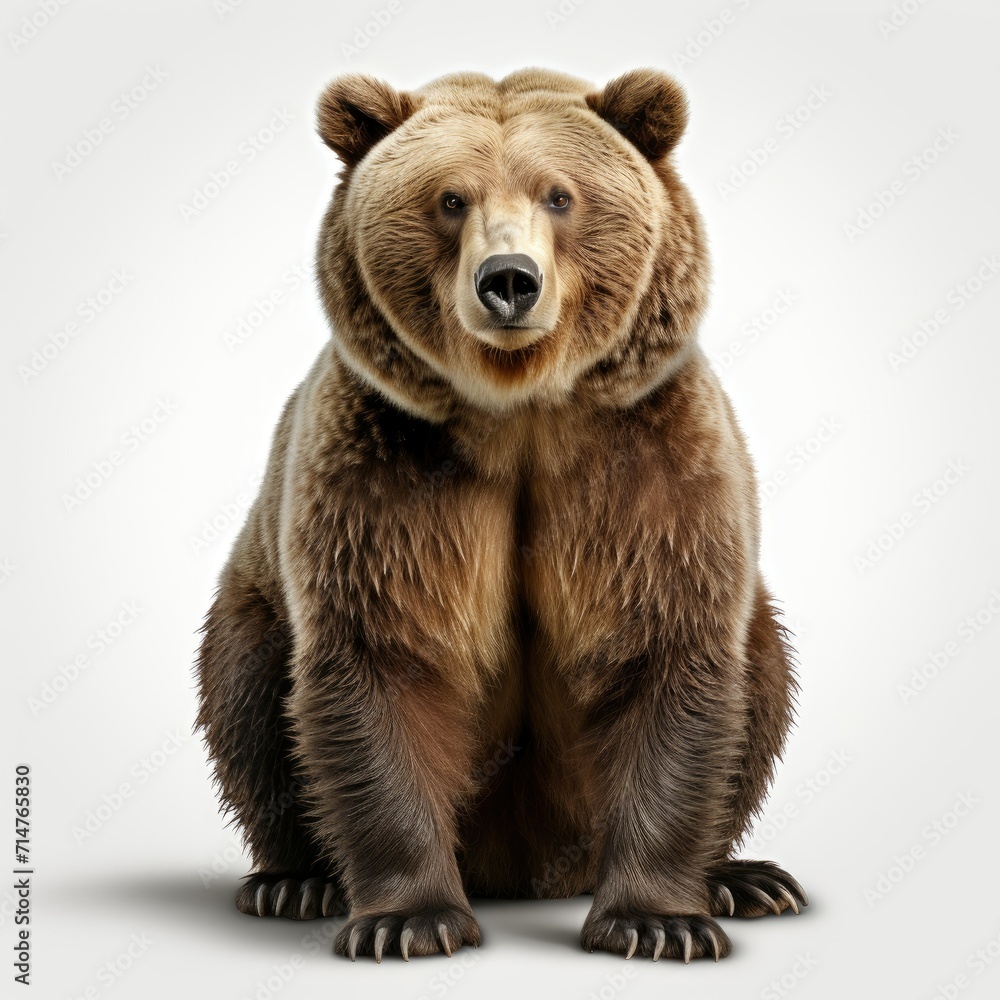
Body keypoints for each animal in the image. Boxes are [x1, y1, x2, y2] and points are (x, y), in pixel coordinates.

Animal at [195, 67, 808, 964]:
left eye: (560, 195)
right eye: (450, 198)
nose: (509, 279)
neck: (522, 412)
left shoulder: (647, 466)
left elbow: (666, 650)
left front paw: (658, 921)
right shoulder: (389, 474)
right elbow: (383, 658)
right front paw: (408, 919)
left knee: (762, 679)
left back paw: (746, 879)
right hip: (256, 601)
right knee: (247, 699)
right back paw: (295, 881)